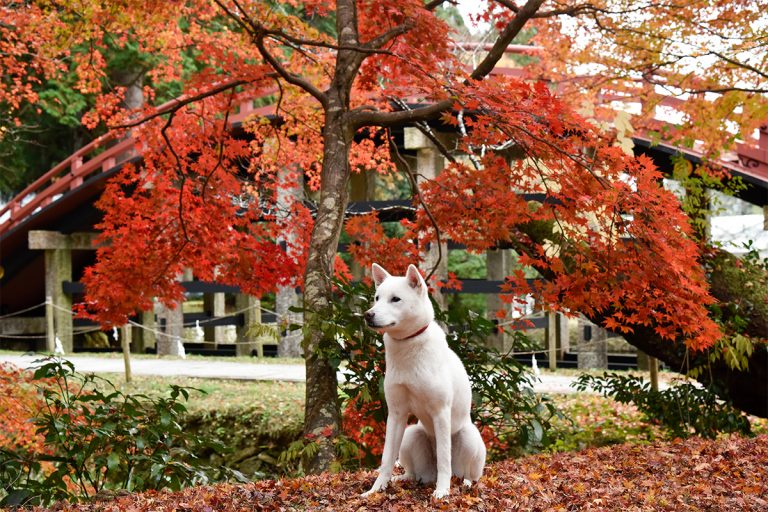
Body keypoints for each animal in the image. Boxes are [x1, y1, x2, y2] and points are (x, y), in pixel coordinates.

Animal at [362, 264, 486, 500]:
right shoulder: (396, 414)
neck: (408, 344)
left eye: (395, 299)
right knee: (412, 472)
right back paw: (403, 478)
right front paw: (376, 489)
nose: (368, 315)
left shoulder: (440, 412)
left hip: (468, 437)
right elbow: (386, 458)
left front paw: (442, 491)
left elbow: (444, 459)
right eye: (377, 298)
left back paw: (463, 483)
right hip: (411, 434)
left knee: (466, 474)